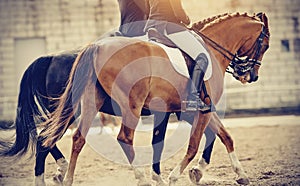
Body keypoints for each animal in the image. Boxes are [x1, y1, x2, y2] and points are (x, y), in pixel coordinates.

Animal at [39, 12, 270, 185]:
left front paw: (239, 174)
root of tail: (97, 46)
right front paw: (176, 176)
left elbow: (224, 136)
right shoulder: (200, 110)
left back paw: (67, 179)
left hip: (90, 102)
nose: (251, 76)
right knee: (124, 138)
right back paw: (141, 178)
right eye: (265, 45)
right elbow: (194, 144)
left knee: (78, 138)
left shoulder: (191, 110)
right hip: (131, 104)